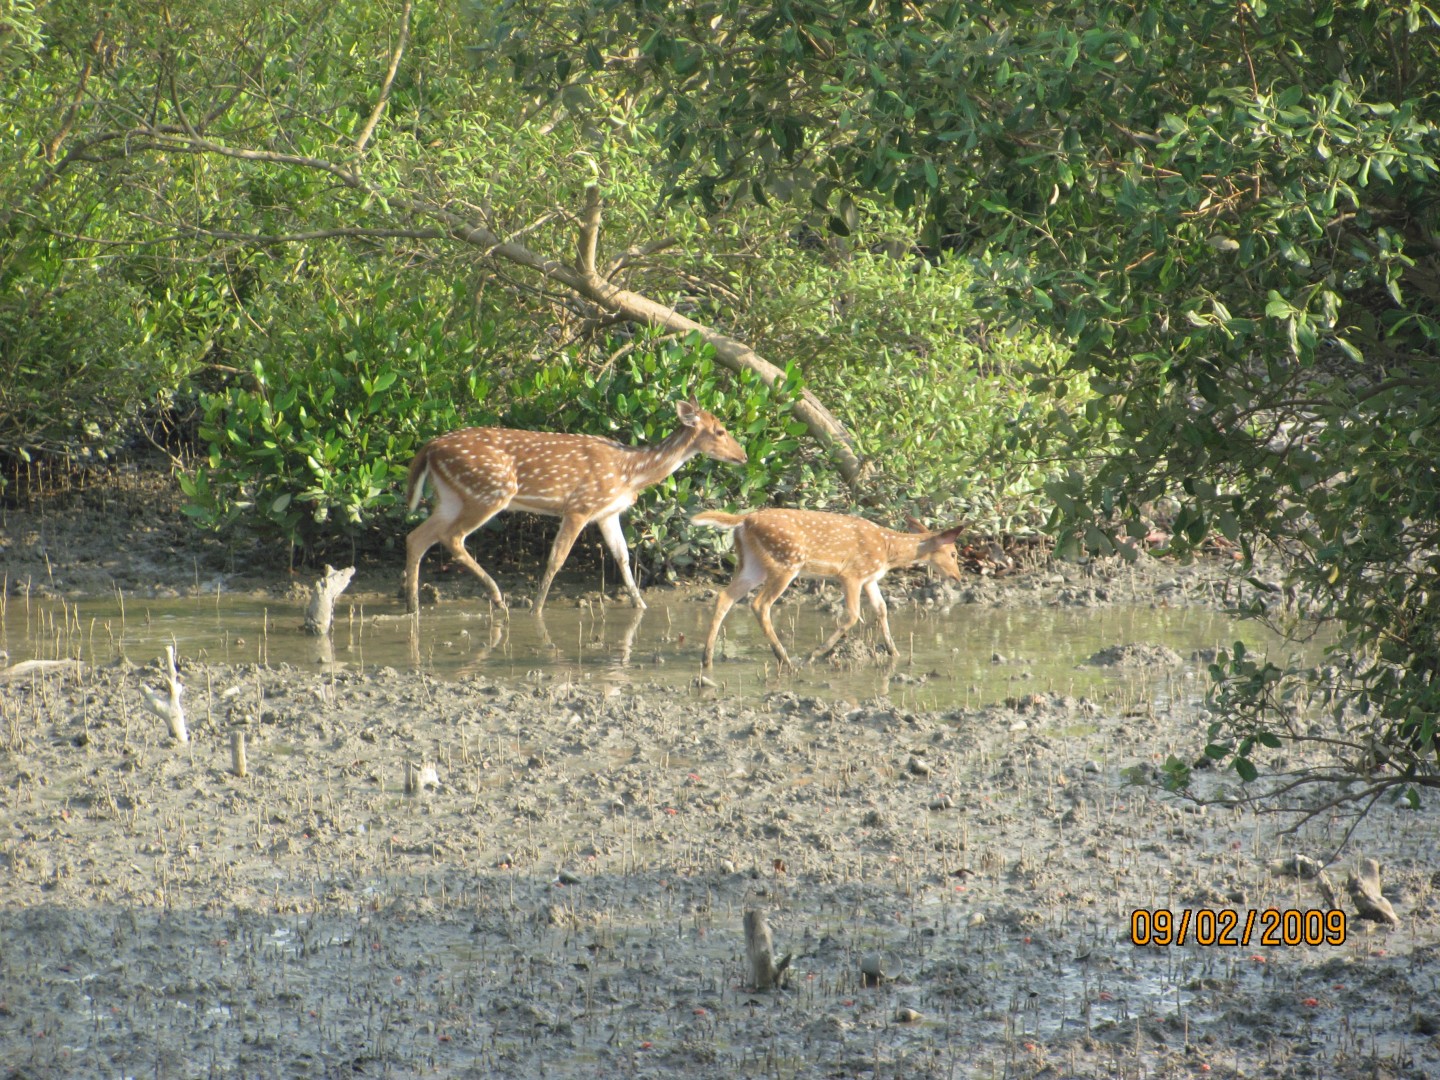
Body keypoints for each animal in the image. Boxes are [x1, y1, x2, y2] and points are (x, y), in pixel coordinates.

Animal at [403, 403, 748, 616]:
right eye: (719, 431)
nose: (743, 456)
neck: (630, 472)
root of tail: (429, 448)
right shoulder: (580, 506)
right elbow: (557, 558)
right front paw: (536, 609)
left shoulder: (607, 512)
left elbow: (623, 557)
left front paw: (641, 606)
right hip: (490, 492)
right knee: (452, 538)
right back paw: (498, 598)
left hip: (451, 497)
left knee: (416, 537)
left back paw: (414, 606)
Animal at [691, 506, 961, 668]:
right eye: (954, 553)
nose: (958, 578)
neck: (888, 549)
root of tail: (743, 520)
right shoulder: (851, 574)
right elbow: (853, 615)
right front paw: (815, 653)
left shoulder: (870, 578)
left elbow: (882, 609)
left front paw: (894, 652)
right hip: (786, 562)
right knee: (760, 604)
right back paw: (785, 658)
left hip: (753, 565)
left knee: (725, 597)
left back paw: (707, 658)